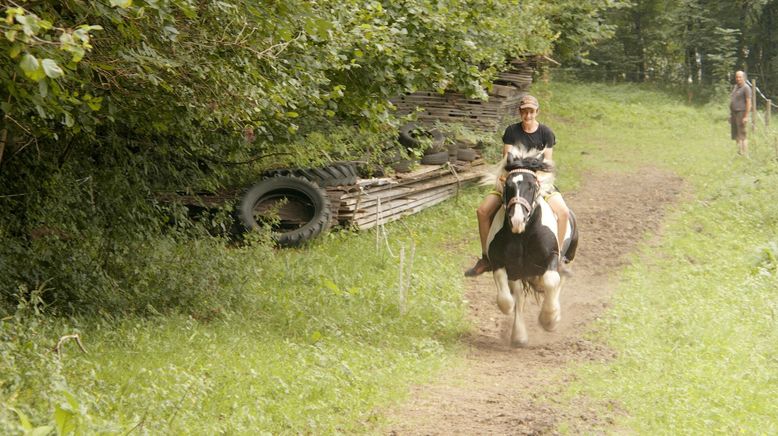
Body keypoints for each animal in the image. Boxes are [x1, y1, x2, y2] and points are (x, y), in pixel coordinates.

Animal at [484, 146, 576, 348]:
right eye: (508, 185)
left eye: (532, 186)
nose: (517, 220)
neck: (523, 235)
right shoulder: (501, 262)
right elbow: (508, 298)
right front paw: (515, 324)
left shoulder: (552, 256)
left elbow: (551, 281)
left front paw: (549, 319)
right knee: (520, 293)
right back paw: (519, 336)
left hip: (569, 257)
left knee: (559, 280)